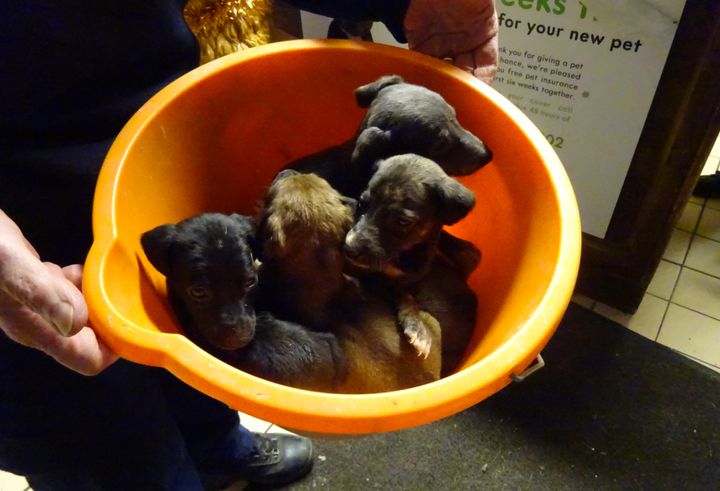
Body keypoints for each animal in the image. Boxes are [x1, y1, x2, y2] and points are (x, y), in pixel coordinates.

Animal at [344, 154, 478, 358]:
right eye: (361, 203)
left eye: (402, 221)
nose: (348, 248)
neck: (403, 254)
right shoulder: (372, 277)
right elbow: (401, 293)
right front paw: (418, 327)